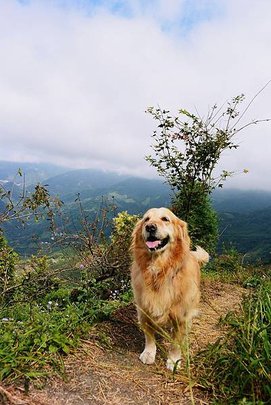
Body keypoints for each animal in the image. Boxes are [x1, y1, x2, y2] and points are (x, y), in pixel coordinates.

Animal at [131, 208, 209, 370]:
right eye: (146, 219)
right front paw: (149, 353)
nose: (150, 227)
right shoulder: (144, 310)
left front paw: (173, 361)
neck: (159, 270)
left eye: (165, 219)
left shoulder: (181, 316)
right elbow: (149, 335)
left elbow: (175, 344)